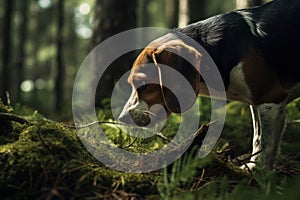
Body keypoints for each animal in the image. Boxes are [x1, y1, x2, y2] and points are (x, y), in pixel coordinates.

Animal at [118, 0, 298, 169]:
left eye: (142, 84)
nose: (122, 118)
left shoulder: (270, 99)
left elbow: (266, 146)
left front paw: (259, 172)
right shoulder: (257, 104)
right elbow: (258, 138)